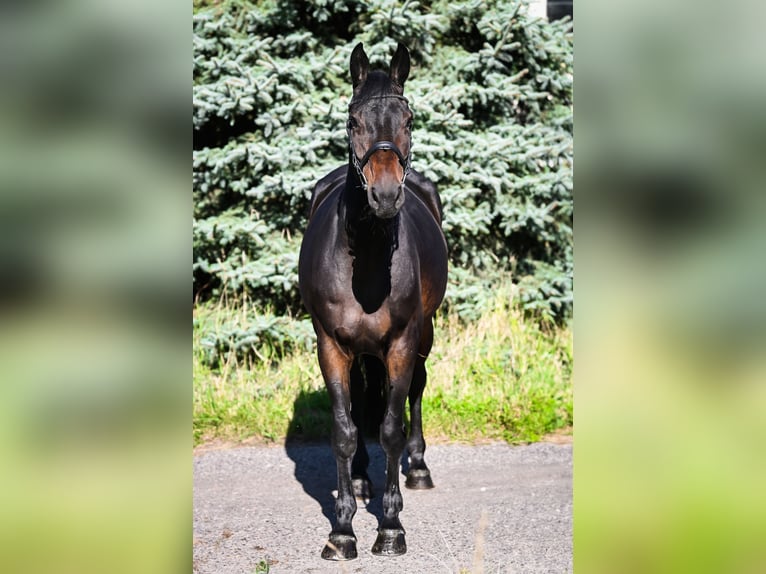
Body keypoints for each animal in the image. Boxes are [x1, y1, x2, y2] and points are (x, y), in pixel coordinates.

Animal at [296, 44, 448, 564]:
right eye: (352, 119)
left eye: (409, 119)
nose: (384, 195)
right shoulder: (330, 345)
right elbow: (344, 430)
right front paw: (342, 531)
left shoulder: (401, 343)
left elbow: (391, 428)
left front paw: (391, 527)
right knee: (362, 401)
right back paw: (362, 480)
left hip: (424, 335)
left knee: (416, 389)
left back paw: (418, 469)